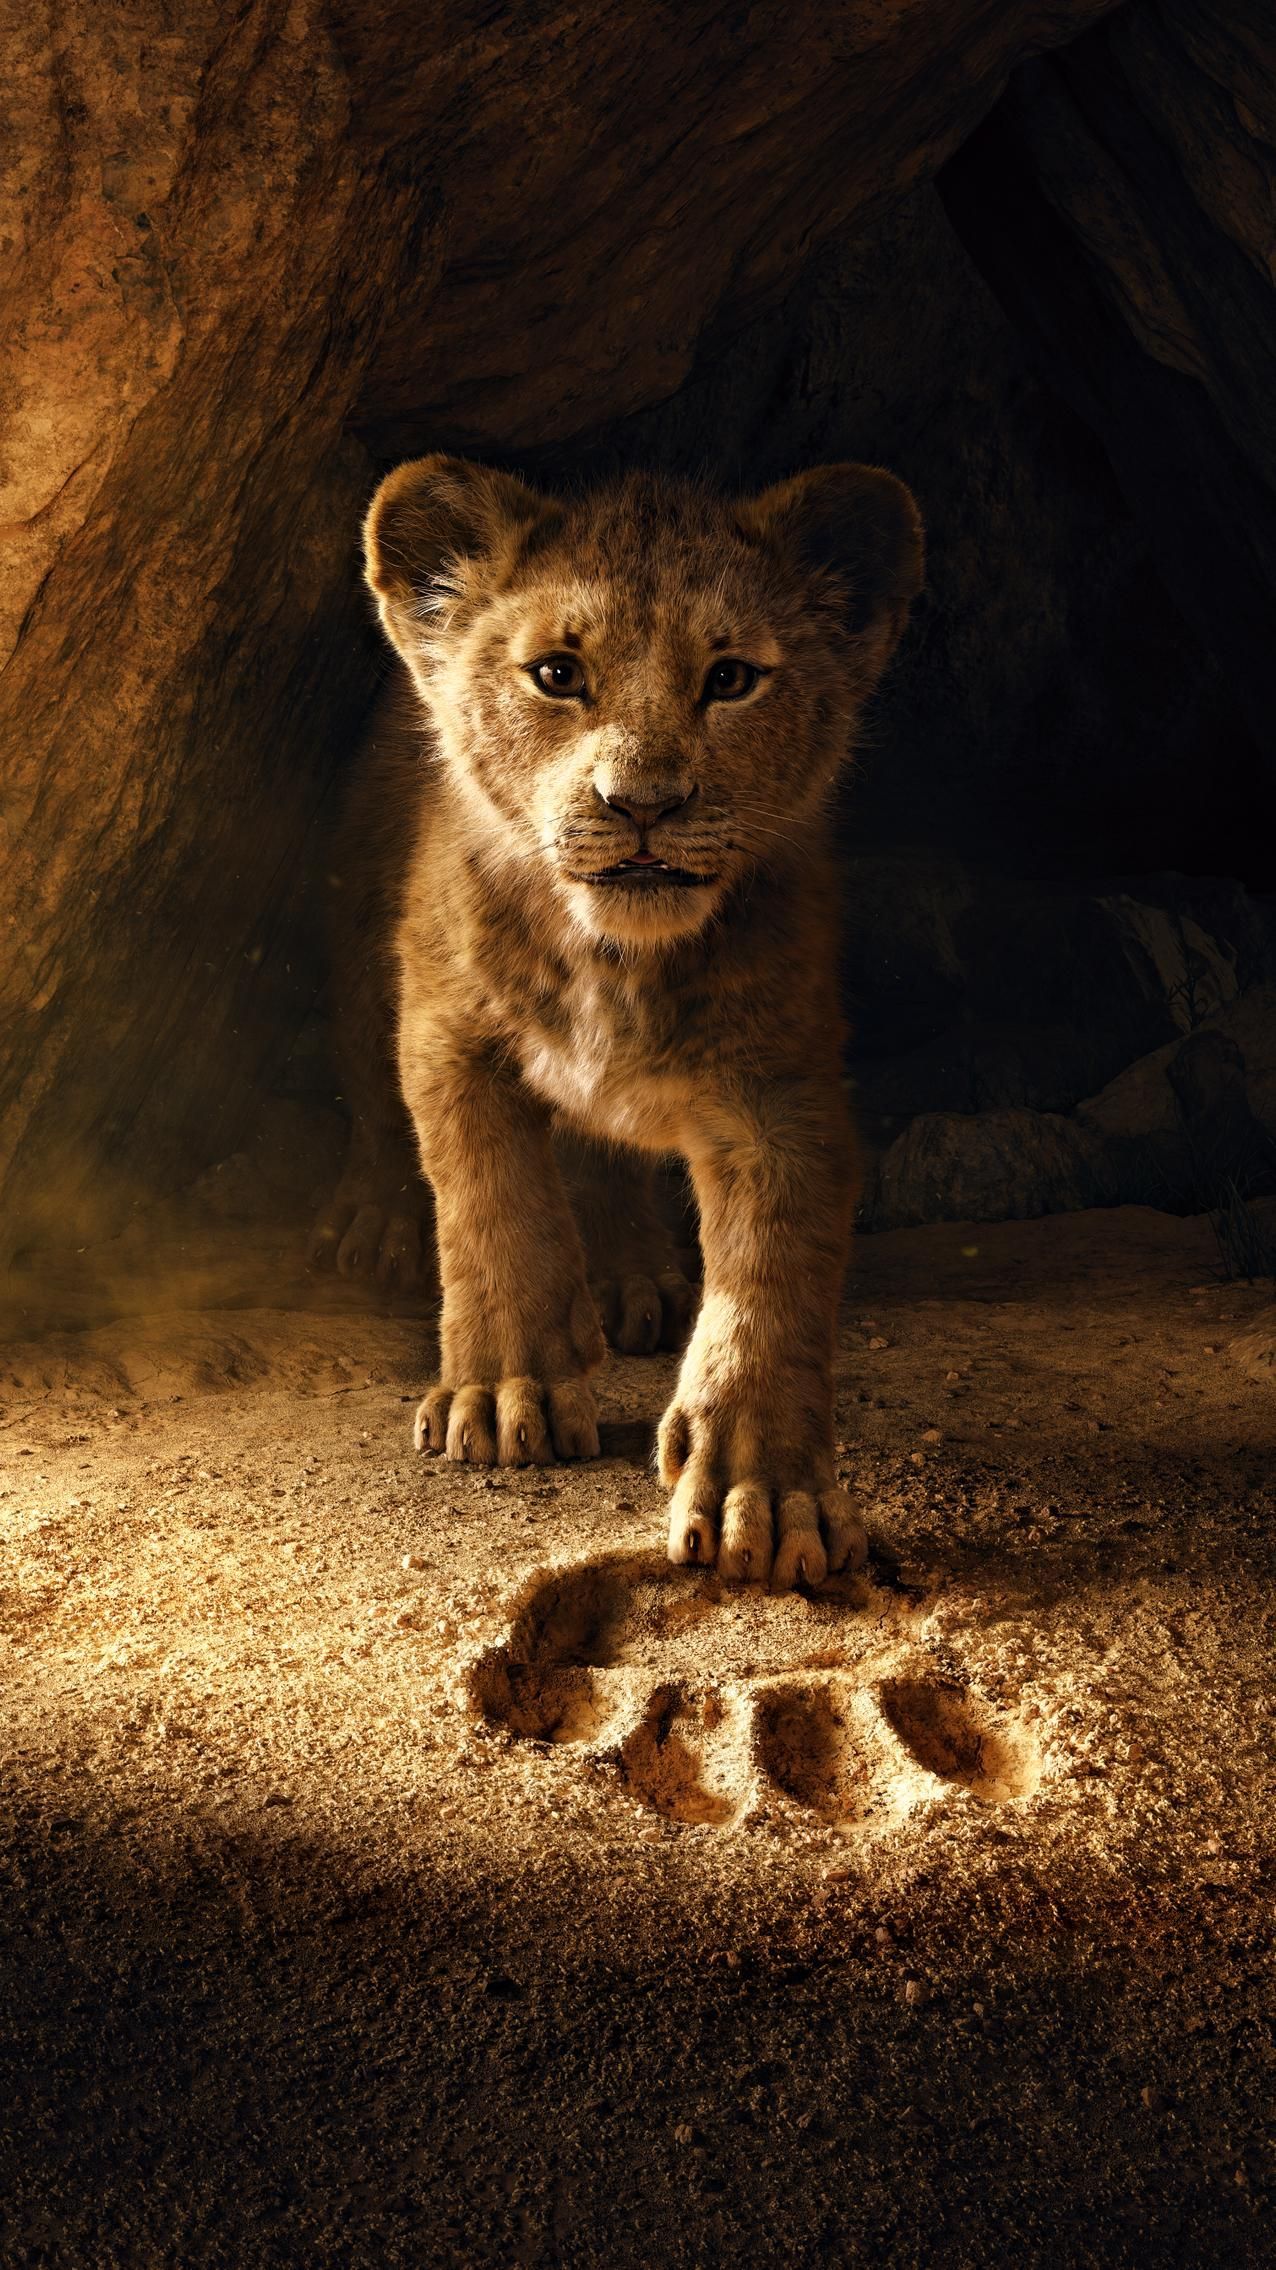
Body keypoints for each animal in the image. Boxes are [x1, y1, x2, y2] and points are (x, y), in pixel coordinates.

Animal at [312, 456, 923, 1588]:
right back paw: (373, 1222)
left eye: (730, 678)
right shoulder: (449, 1033)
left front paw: (763, 1492)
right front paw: (503, 1393)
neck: (615, 958)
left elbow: (772, 1279)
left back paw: (634, 1275)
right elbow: (492, 1206)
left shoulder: (783, 1088)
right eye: (557, 673)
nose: (642, 802)